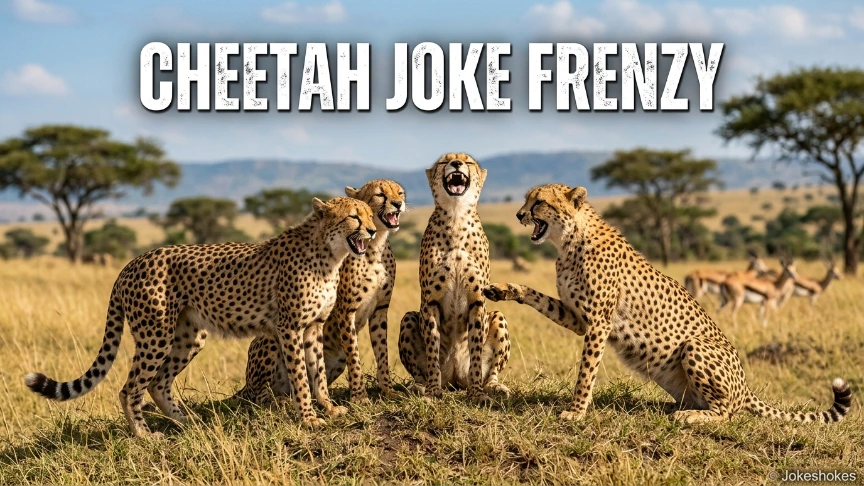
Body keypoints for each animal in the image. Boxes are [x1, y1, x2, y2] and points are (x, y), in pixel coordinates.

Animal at [24, 197, 378, 436]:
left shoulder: (313, 326)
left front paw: (328, 408)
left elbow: (318, 372)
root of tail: (133, 262)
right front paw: (308, 417)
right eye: (354, 217)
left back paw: (186, 421)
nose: (374, 230)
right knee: (130, 388)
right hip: (156, 335)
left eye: (370, 215)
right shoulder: (289, 327)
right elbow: (301, 376)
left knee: (158, 382)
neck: (329, 253)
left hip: (188, 337)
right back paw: (144, 434)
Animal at [234, 179, 405, 405]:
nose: (398, 204)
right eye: (380, 195)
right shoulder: (345, 311)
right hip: (272, 337)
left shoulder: (380, 309)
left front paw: (388, 391)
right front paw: (359, 397)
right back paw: (279, 400)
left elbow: (382, 352)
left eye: (400, 193)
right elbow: (354, 356)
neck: (374, 248)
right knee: (258, 394)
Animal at [398, 152, 511, 404]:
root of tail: (454, 379)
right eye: (444, 161)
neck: (456, 216)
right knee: (419, 371)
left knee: (492, 372)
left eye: (468, 162)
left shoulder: (478, 300)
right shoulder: (430, 301)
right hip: (408, 317)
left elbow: (476, 353)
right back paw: (420, 387)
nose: (456, 163)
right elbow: (432, 347)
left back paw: (494, 387)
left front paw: (477, 393)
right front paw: (432, 392)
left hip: (498, 316)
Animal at [483, 183, 852, 424]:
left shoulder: (599, 322)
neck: (569, 240)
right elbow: (535, 296)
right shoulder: (578, 317)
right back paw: (680, 409)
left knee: (729, 412)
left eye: (538, 202)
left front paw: (575, 412)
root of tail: (746, 386)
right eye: (526, 200)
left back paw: (691, 417)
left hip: (695, 346)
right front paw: (504, 289)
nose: (518, 214)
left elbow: (586, 371)